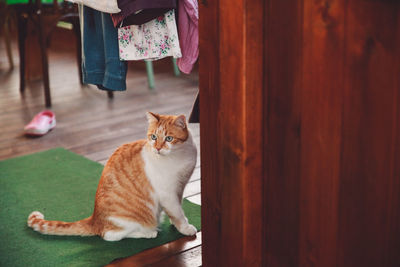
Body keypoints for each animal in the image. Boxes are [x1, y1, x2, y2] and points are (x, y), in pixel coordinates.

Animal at [27, 112, 198, 242]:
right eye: (154, 137)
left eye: (169, 138)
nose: (157, 148)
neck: (179, 156)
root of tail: (95, 219)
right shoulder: (167, 193)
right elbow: (178, 212)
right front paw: (185, 227)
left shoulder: (179, 188)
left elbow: (177, 208)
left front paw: (175, 223)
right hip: (132, 220)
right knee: (110, 236)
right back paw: (148, 232)